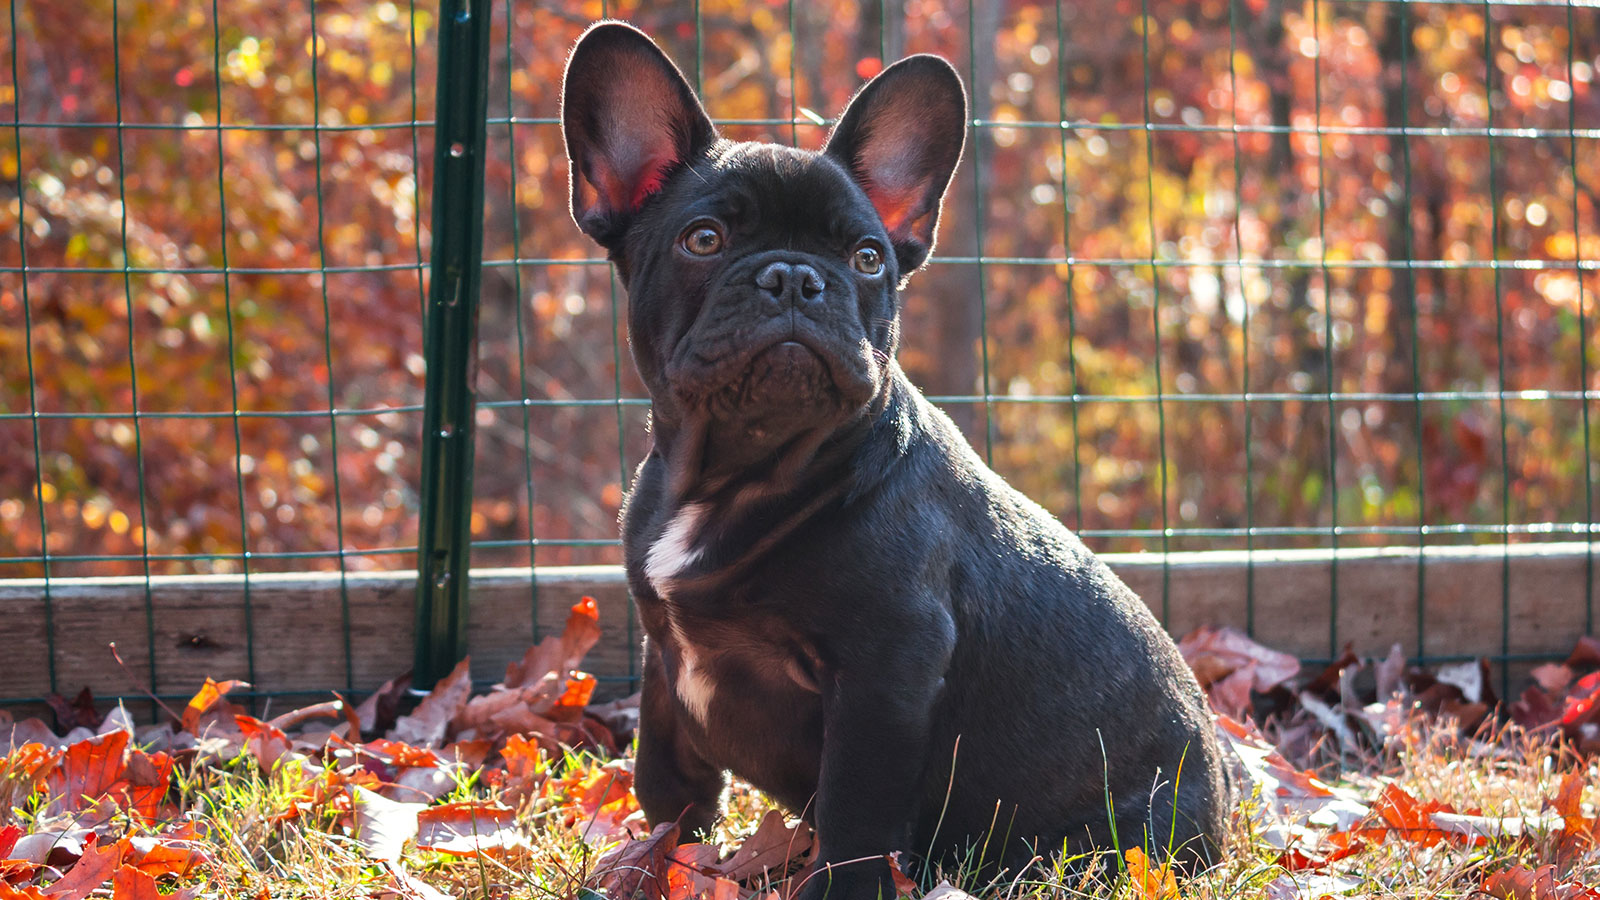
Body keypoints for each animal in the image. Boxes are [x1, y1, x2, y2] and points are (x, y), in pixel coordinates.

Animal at [560, 21, 1227, 899]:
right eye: (703, 240)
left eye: (869, 258)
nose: (795, 276)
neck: (739, 469)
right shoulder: (663, 658)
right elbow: (669, 784)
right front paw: (659, 864)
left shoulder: (884, 673)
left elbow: (856, 812)